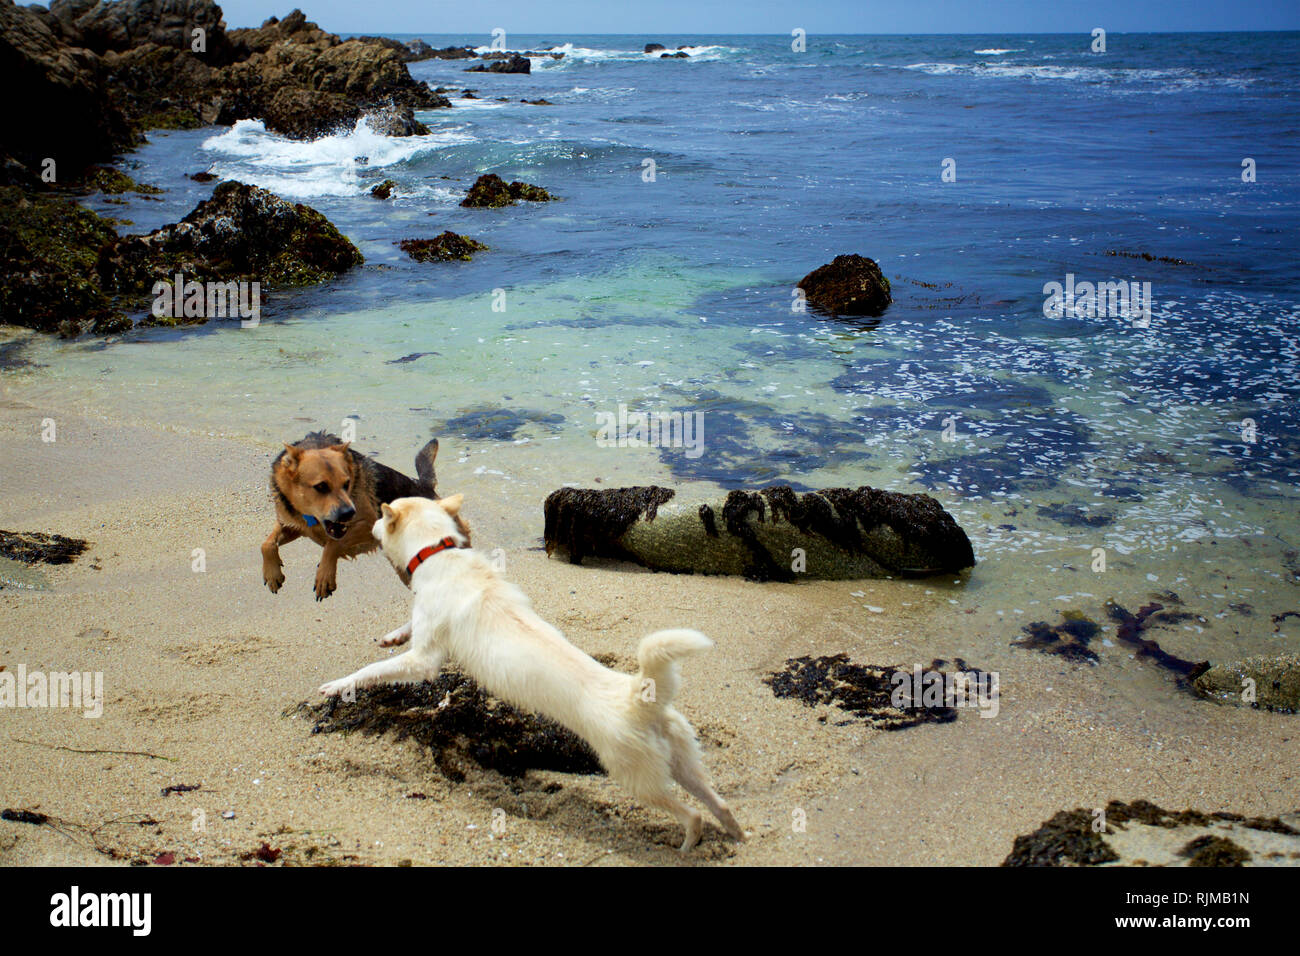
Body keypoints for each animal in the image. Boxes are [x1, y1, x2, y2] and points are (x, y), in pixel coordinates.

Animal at [262, 431, 441, 600]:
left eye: (347, 483)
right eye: (321, 486)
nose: (349, 513)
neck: (310, 516)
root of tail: (424, 486)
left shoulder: (368, 525)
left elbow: (332, 545)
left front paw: (324, 577)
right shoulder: (293, 526)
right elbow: (266, 544)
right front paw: (272, 574)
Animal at [317, 496, 743, 848]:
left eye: (383, 514)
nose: (368, 522)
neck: (438, 551)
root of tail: (640, 699)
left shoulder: (423, 660)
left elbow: (372, 669)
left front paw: (339, 686)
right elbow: (405, 627)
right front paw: (392, 635)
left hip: (637, 778)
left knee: (692, 814)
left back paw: (688, 845)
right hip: (684, 763)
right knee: (717, 802)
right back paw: (736, 834)